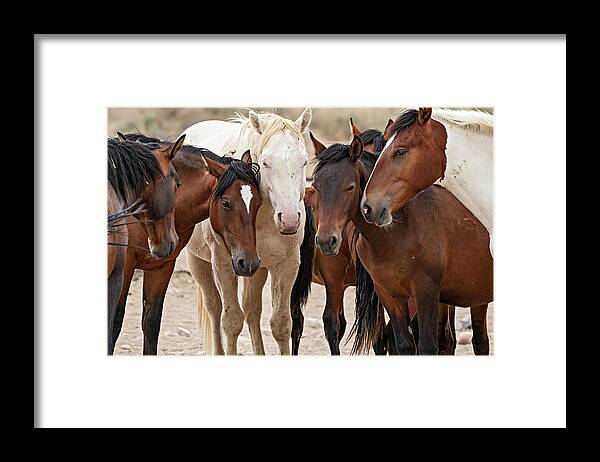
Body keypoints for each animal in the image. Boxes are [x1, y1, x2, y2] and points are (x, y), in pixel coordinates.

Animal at [182, 108, 314, 354]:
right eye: (266, 162)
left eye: (303, 161)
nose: (290, 219)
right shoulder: (224, 262)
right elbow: (231, 320)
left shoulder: (287, 264)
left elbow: (281, 324)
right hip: (198, 262)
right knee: (214, 308)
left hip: (257, 269)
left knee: (252, 309)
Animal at [310, 135, 492, 356]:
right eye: (316, 186)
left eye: (350, 186)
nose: (326, 240)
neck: (398, 230)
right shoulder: (389, 295)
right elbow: (403, 344)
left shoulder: (425, 293)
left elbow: (428, 346)